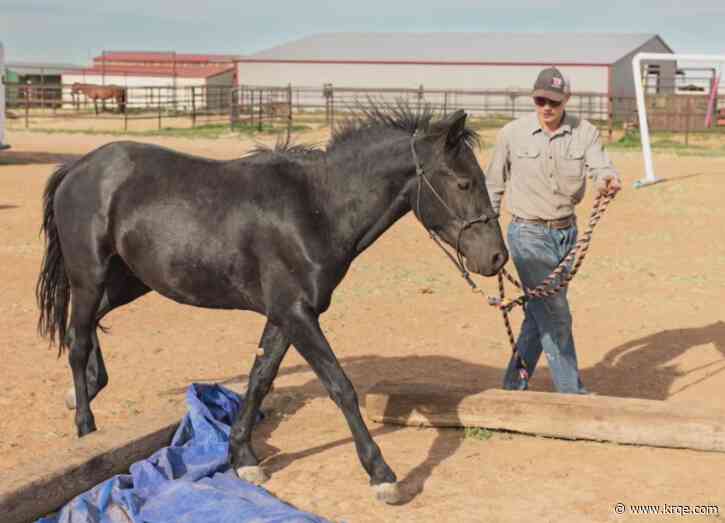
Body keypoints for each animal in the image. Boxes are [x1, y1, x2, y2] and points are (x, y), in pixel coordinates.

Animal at [36, 104, 507, 503]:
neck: (315, 208)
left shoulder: (285, 316)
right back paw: (86, 426)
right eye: (464, 182)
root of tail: (79, 167)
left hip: (128, 280)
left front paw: (243, 458)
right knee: (77, 340)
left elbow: (260, 378)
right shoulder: (297, 314)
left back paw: (88, 389)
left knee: (89, 325)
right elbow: (340, 386)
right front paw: (382, 475)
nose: (496, 258)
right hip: (90, 275)